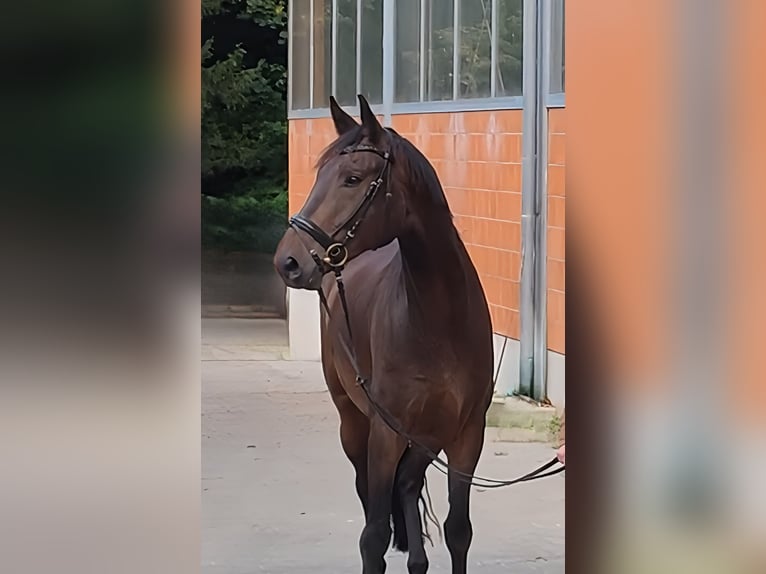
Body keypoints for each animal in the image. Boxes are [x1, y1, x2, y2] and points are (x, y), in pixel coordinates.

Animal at [272, 95, 496, 574]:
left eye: (353, 178)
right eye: (319, 176)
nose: (288, 262)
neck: (439, 320)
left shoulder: (467, 434)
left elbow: (459, 531)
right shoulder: (384, 435)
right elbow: (373, 536)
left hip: (426, 438)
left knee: (409, 486)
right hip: (355, 425)